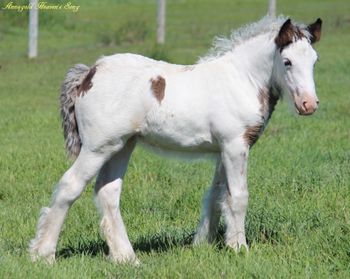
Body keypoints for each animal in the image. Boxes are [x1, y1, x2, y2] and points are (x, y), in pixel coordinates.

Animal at [30, 17, 322, 264]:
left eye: (315, 61)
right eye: (287, 61)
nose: (309, 104)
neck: (242, 80)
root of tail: (88, 74)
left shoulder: (222, 150)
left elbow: (216, 196)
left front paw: (203, 244)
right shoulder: (235, 145)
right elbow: (238, 197)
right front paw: (239, 248)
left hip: (121, 146)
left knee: (108, 192)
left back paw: (127, 258)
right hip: (97, 148)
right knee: (70, 186)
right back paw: (43, 254)